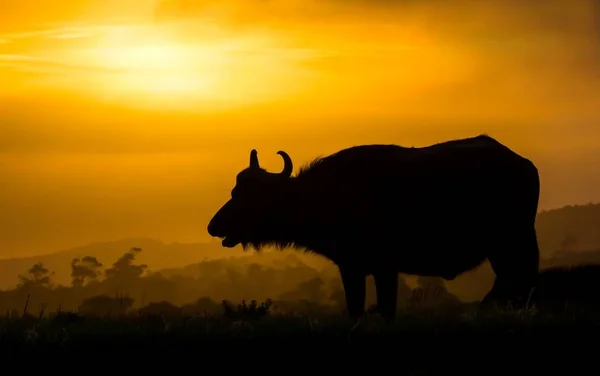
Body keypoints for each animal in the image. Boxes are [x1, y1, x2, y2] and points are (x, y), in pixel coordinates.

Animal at [209, 134, 540, 322]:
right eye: (234, 191)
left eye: (248, 197)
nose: (213, 226)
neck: (323, 195)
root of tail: (524, 164)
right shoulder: (351, 267)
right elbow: (356, 308)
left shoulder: (384, 267)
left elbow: (385, 308)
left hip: (512, 243)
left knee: (519, 282)